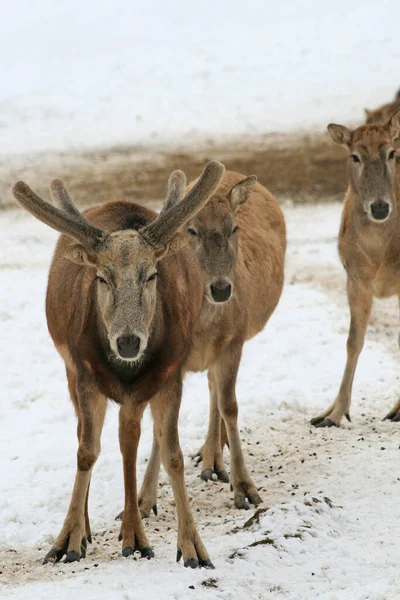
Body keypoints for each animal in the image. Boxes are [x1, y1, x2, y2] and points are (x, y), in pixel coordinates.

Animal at [11, 161, 225, 568]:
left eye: (152, 274)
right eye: (101, 277)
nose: (127, 342)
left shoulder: (170, 374)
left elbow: (172, 456)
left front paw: (193, 547)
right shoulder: (84, 372)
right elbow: (86, 451)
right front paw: (66, 540)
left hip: (137, 393)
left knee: (129, 441)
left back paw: (133, 533)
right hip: (71, 370)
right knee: (86, 434)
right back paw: (91, 529)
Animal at [136, 169, 286, 510]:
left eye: (234, 228)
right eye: (191, 229)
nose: (221, 289)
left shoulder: (234, 341)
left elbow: (229, 405)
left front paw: (245, 488)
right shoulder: (168, 359)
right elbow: (161, 426)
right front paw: (144, 499)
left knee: (216, 390)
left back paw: (214, 459)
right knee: (210, 386)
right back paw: (209, 457)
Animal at [312, 108, 400, 426]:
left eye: (391, 152)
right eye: (354, 156)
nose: (380, 207)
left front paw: (398, 410)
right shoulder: (354, 279)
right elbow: (353, 341)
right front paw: (334, 413)